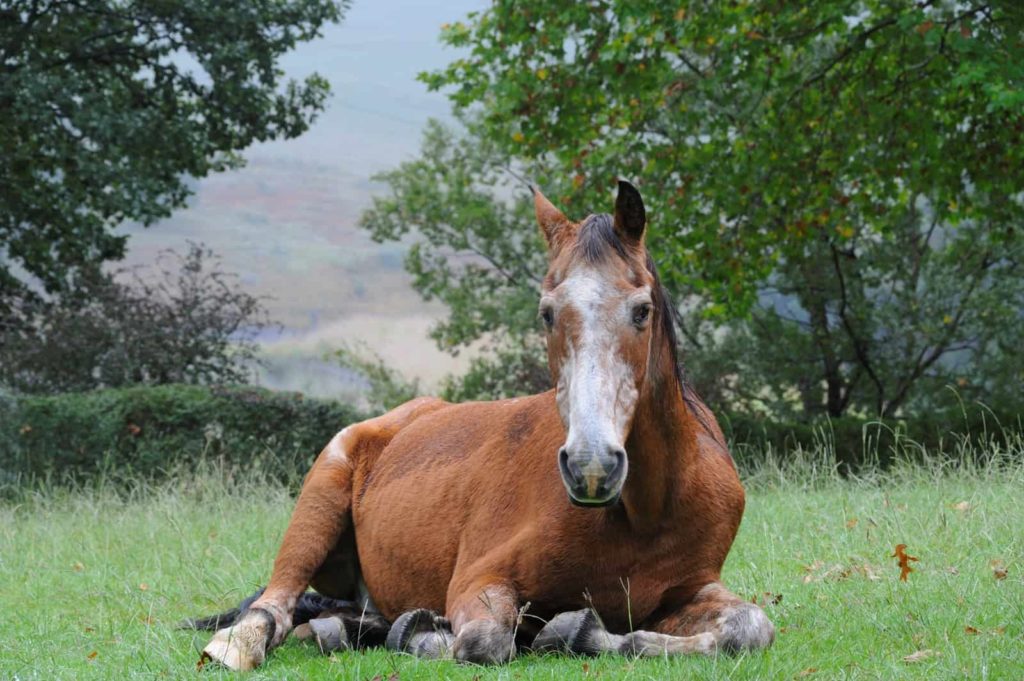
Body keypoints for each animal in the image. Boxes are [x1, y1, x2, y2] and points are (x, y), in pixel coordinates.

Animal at [193, 179, 774, 667]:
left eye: (642, 310)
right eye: (546, 312)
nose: (591, 467)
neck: (646, 511)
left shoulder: (690, 591)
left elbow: (750, 626)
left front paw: (573, 631)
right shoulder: (479, 579)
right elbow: (484, 640)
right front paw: (435, 635)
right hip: (319, 500)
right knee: (276, 604)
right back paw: (245, 644)